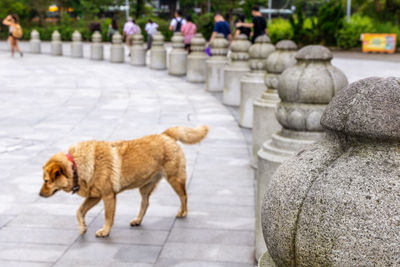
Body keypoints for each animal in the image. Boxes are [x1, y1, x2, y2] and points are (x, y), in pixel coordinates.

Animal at [39, 126, 209, 238]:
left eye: (46, 181)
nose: (39, 194)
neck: (75, 165)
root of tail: (166, 135)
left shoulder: (108, 196)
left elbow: (108, 216)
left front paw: (105, 231)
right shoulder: (95, 196)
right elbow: (79, 211)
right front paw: (82, 227)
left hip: (175, 179)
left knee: (184, 196)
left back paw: (183, 212)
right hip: (145, 187)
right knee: (145, 204)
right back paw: (138, 220)